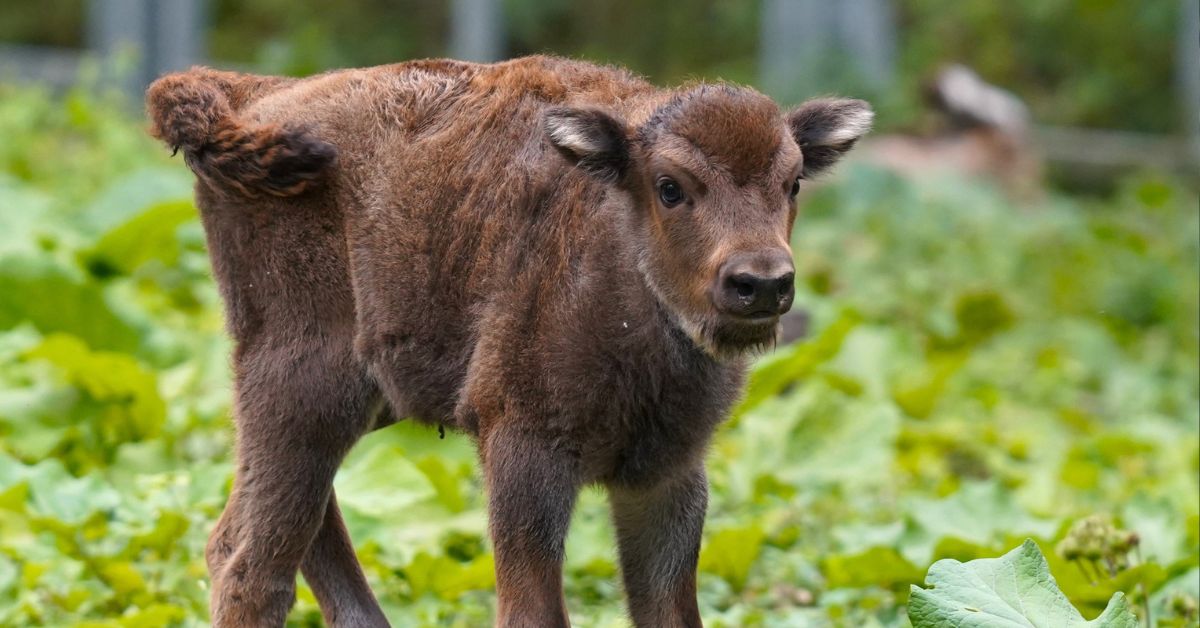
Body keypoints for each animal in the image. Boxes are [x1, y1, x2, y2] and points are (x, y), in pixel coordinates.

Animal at [147, 56, 873, 624]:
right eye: (670, 187)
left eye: (793, 182)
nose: (762, 283)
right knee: (250, 563)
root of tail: (251, 94)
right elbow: (533, 610)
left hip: (357, 399)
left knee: (277, 534)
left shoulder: (666, 475)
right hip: (302, 382)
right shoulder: (524, 452)